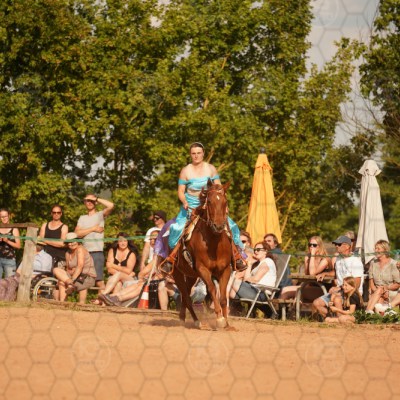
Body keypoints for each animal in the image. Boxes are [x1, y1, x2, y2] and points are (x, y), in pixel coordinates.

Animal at [171, 179, 233, 329]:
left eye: (225, 202)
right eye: (209, 201)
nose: (218, 226)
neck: (214, 244)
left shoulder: (225, 269)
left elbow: (223, 297)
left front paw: (227, 323)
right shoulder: (203, 269)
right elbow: (212, 289)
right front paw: (219, 319)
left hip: (191, 275)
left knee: (186, 295)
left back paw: (183, 318)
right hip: (177, 273)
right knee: (187, 297)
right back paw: (197, 322)